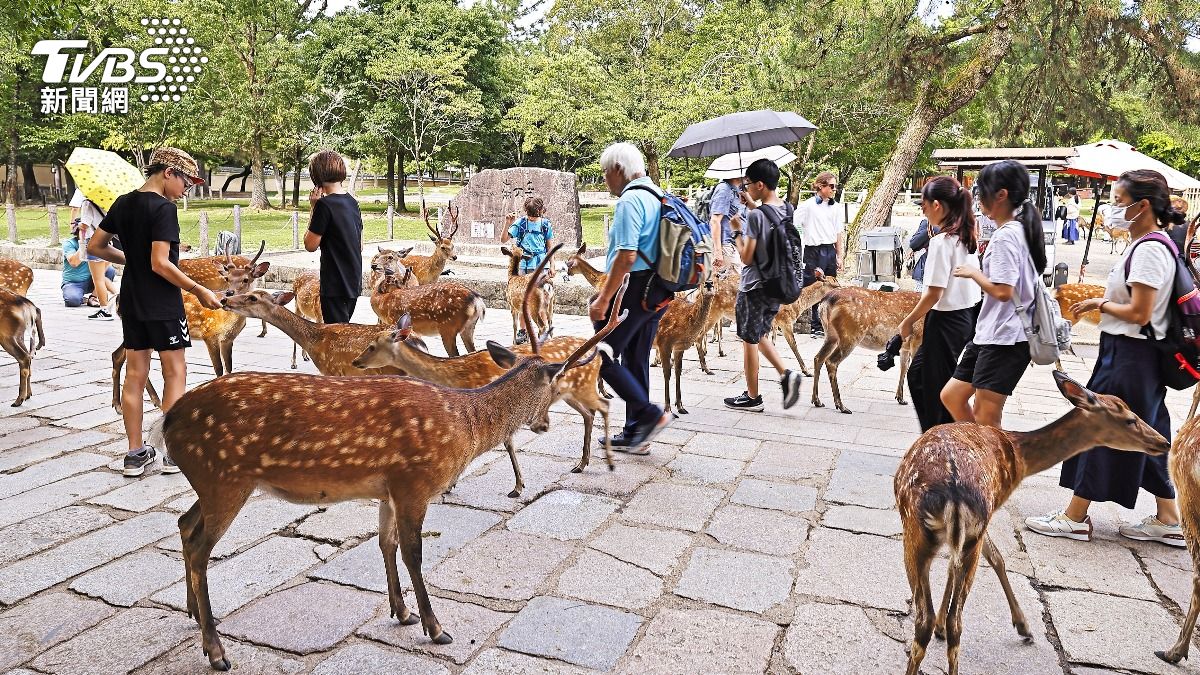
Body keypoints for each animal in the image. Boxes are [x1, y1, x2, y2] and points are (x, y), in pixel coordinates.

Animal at [156, 253, 629, 672]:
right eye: (554, 385)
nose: (543, 425)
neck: (466, 427)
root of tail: (169, 421)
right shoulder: (414, 482)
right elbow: (414, 554)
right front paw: (436, 627)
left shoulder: (387, 488)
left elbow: (386, 544)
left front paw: (401, 612)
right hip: (225, 478)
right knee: (199, 547)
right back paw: (216, 650)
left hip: (212, 481)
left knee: (184, 523)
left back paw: (192, 613)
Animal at [896, 371, 1169, 675]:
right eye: (1130, 419)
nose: (1164, 442)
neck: (1019, 458)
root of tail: (952, 493)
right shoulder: (987, 515)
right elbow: (994, 559)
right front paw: (1023, 627)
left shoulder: (979, 524)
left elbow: (976, 563)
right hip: (936, 530)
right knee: (946, 619)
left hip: (926, 534)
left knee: (928, 619)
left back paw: (942, 626)